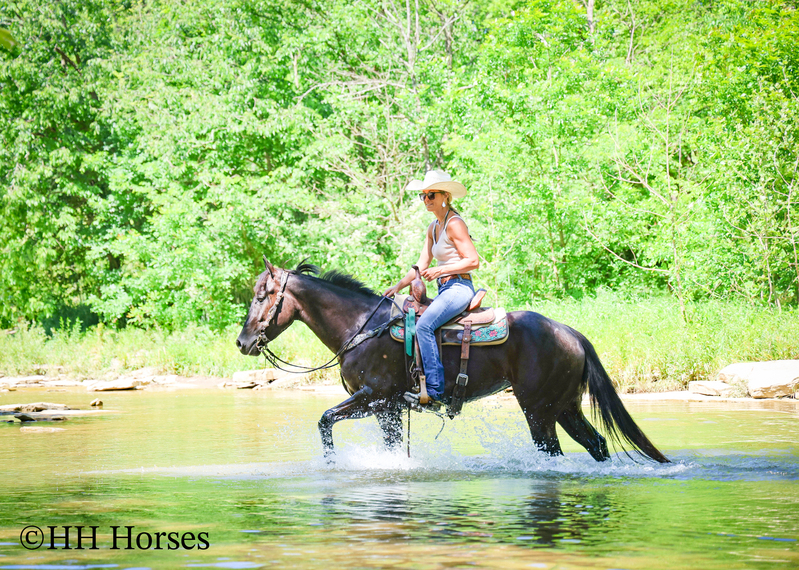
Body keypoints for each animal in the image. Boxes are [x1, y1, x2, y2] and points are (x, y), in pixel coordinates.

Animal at [236, 259, 670, 464]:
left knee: (555, 452)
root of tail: (569, 332)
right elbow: (389, 447)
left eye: (262, 296)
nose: (242, 342)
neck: (362, 326)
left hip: (539, 410)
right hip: (564, 406)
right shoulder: (387, 409)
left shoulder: (374, 397)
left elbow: (325, 420)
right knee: (596, 443)